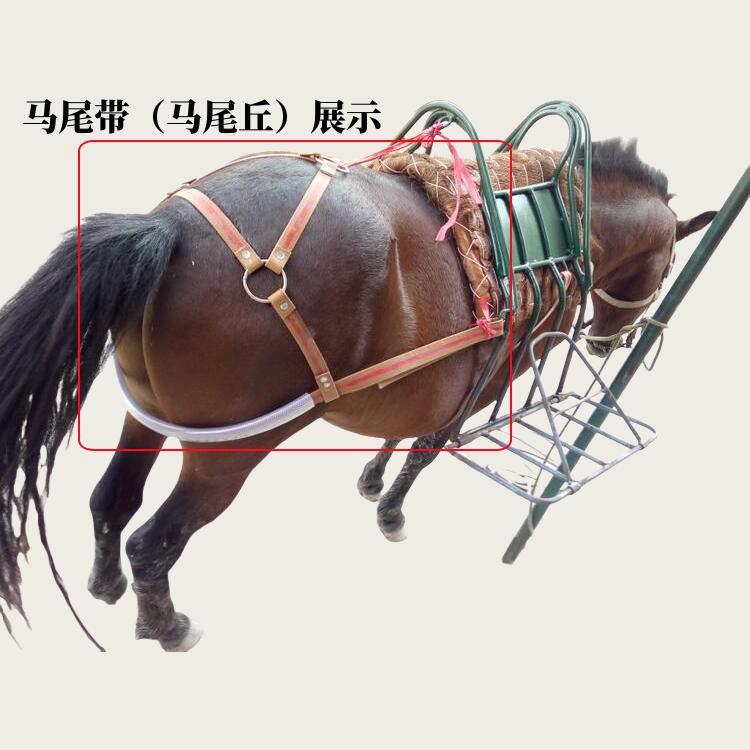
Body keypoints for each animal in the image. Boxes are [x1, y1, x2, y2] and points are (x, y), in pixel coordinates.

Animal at [0, 137, 714, 650]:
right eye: (666, 268)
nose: (606, 342)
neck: (556, 221)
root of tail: (169, 230)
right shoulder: (494, 375)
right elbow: (429, 447)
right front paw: (391, 510)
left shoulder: (435, 374)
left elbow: (407, 428)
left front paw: (373, 479)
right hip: (229, 454)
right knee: (154, 543)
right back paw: (167, 627)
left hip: (145, 414)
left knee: (110, 502)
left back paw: (105, 584)